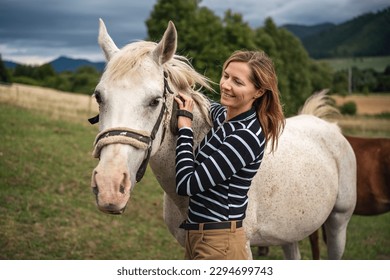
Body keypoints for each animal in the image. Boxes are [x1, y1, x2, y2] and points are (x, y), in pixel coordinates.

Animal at [89, 19, 356, 260]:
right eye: (99, 97)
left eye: (155, 100)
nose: (109, 186)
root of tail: (328, 127)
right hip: (289, 233)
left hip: (338, 223)